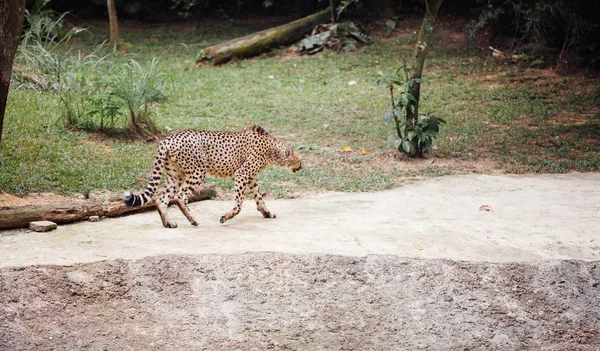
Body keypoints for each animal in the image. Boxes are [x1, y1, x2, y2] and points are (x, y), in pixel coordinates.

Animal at [122, 125, 302, 230]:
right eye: (299, 160)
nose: (301, 167)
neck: (273, 150)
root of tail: (168, 139)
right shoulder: (242, 174)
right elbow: (239, 204)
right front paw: (225, 217)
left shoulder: (250, 177)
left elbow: (259, 198)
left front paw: (267, 213)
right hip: (198, 171)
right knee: (180, 196)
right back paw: (192, 219)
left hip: (175, 175)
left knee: (161, 198)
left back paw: (168, 223)